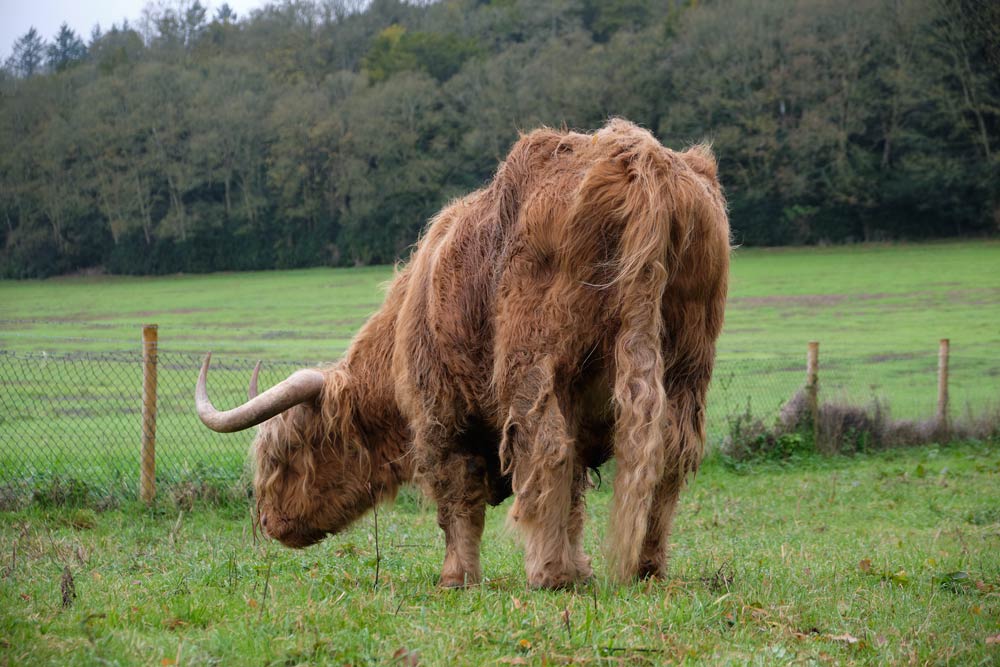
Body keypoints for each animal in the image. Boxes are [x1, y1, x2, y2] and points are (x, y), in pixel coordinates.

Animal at [196, 119, 730, 588]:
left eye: (283, 455)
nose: (269, 522)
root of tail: (640, 157)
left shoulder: (441, 416)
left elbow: (457, 501)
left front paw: (458, 577)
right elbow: (573, 498)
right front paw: (580, 568)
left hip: (533, 364)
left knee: (546, 448)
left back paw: (547, 575)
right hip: (687, 363)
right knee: (670, 454)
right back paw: (646, 566)